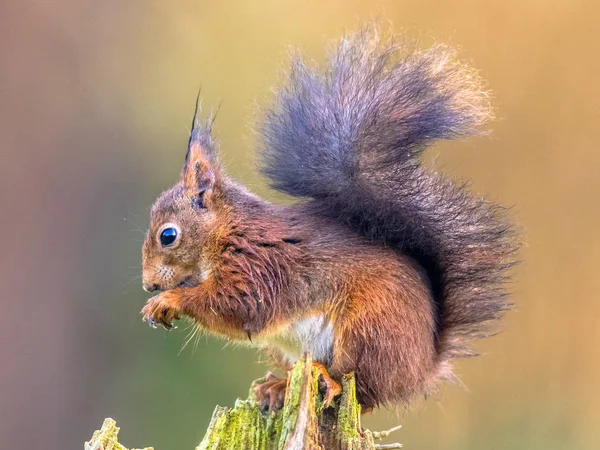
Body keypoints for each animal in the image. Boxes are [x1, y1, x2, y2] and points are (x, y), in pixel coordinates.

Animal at [139, 28, 516, 414]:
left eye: (168, 235)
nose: (149, 284)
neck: (227, 232)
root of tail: (423, 366)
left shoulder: (260, 266)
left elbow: (238, 307)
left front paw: (168, 302)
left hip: (369, 327)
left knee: (364, 389)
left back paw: (328, 380)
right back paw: (277, 386)